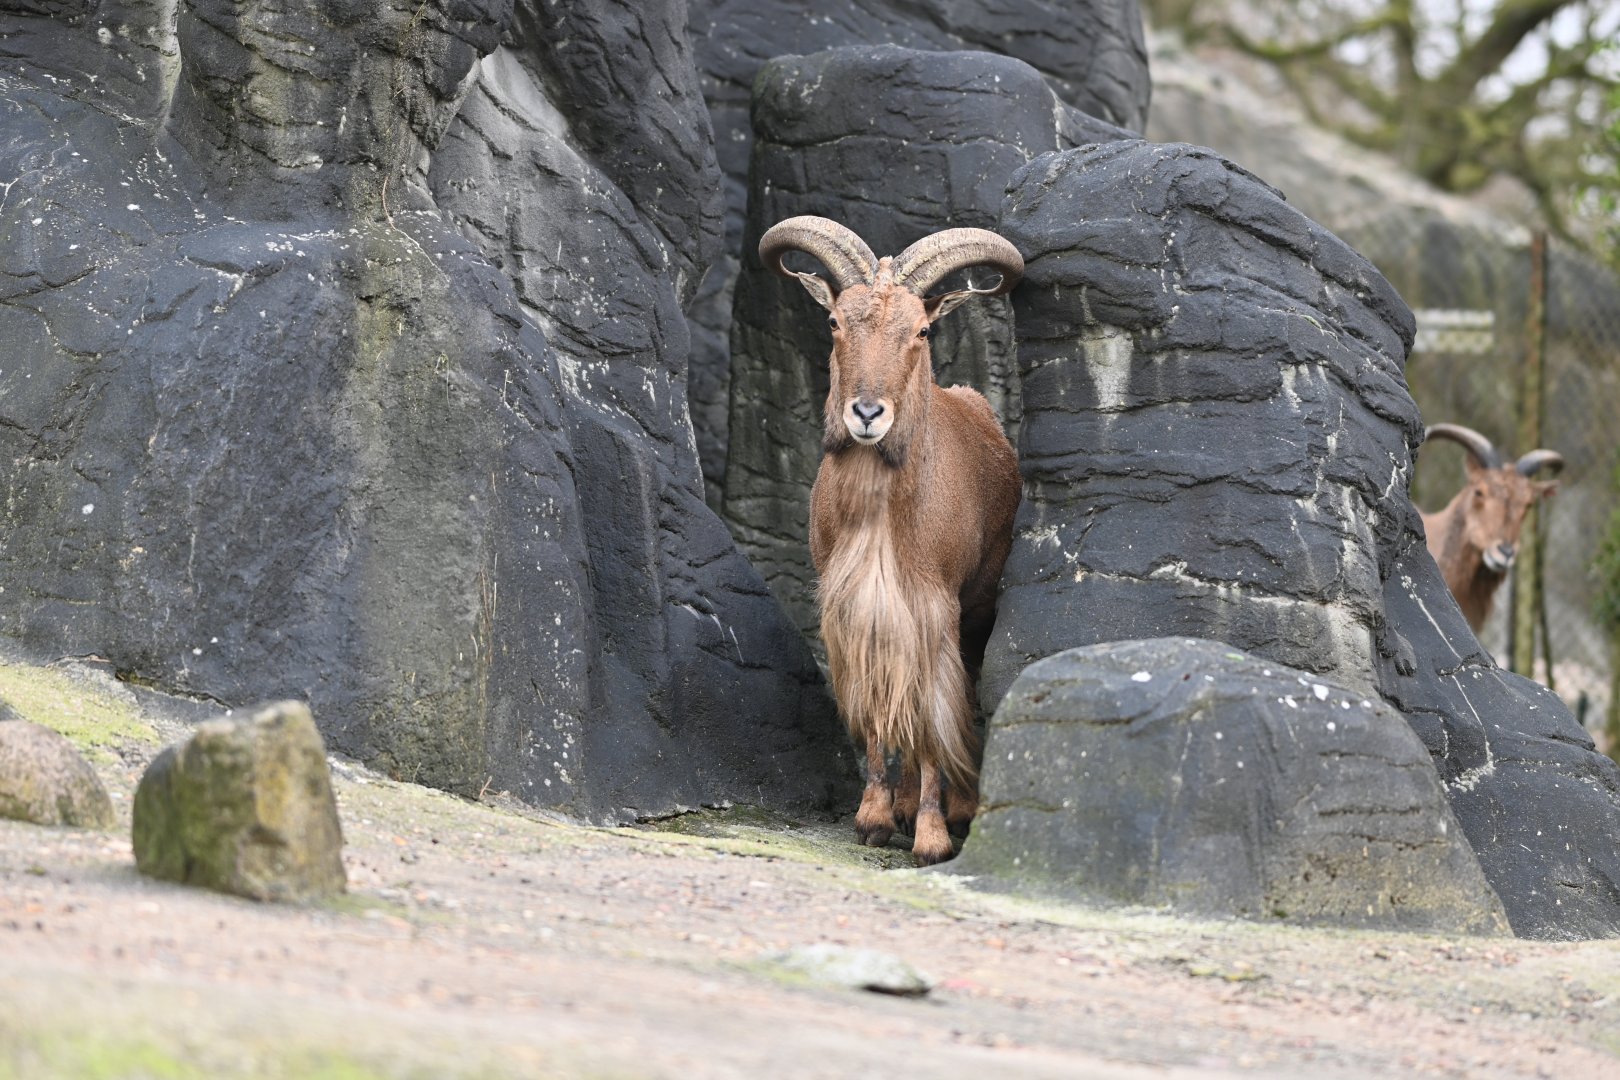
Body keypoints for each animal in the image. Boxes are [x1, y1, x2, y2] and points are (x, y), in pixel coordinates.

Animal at [759, 215, 1023, 866]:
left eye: (922, 330)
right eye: (835, 321)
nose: (867, 412)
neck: (882, 511)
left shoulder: (933, 611)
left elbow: (931, 715)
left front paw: (931, 836)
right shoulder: (856, 609)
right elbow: (878, 713)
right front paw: (875, 815)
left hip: (977, 613)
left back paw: (954, 807)